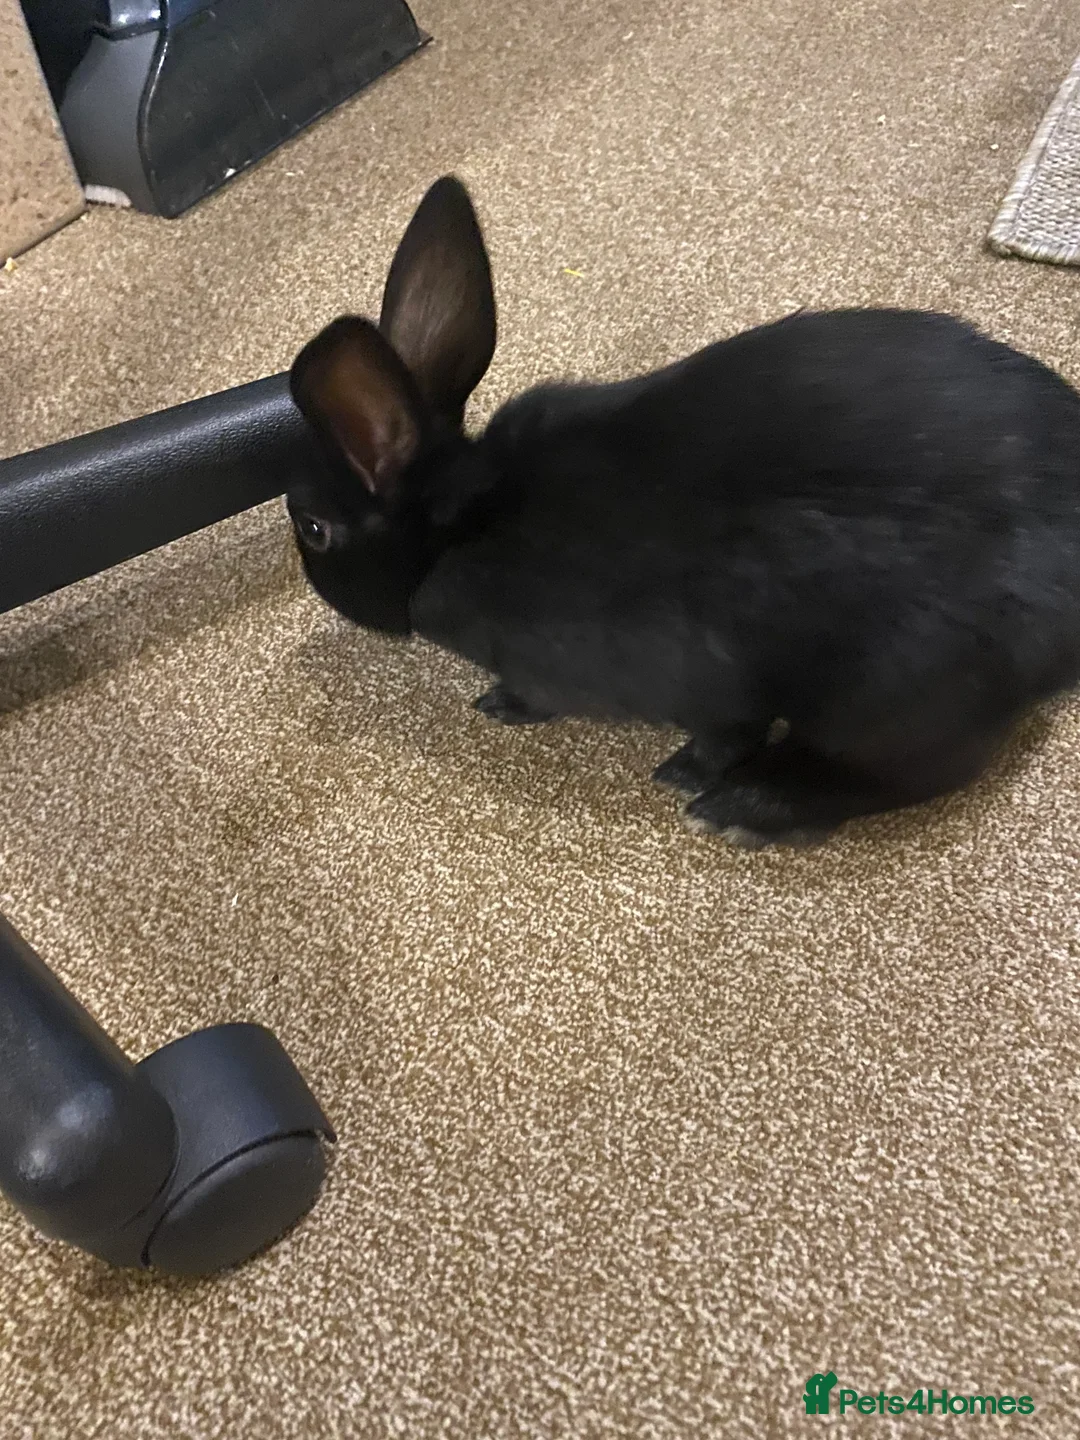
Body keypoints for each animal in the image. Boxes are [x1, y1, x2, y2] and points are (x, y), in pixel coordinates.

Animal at [285, 175, 1080, 847]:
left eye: (314, 529)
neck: (457, 529)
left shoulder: (697, 676)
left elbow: (721, 732)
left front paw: (547, 722)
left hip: (893, 694)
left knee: (907, 773)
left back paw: (744, 810)